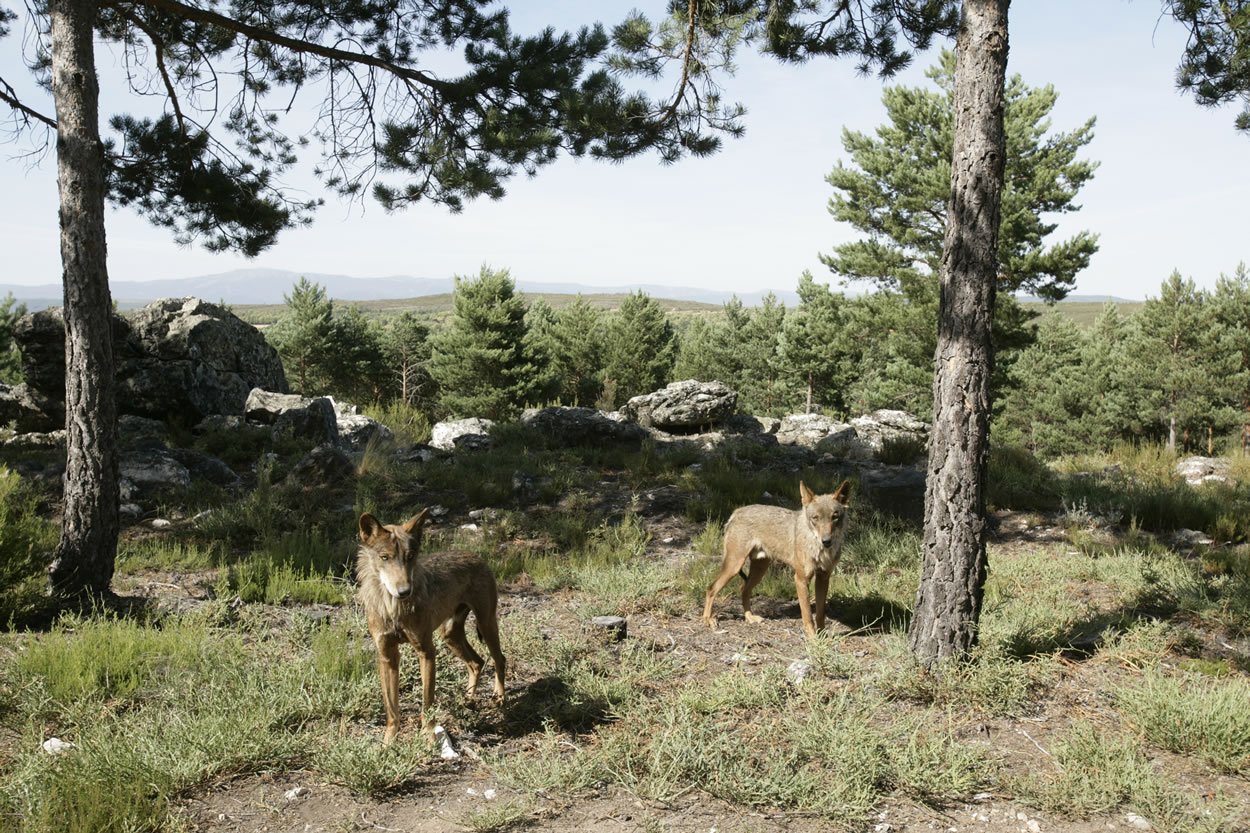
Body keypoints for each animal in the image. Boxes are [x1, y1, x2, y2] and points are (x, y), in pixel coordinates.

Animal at [357, 510, 502, 740]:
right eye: (385, 557)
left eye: (410, 557)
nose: (405, 591)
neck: (393, 609)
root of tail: (476, 556)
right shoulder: (387, 656)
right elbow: (392, 709)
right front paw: (388, 742)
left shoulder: (426, 651)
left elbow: (427, 702)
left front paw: (428, 735)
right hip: (450, 636)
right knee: (477, 662)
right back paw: (468, 700)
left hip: (486, 624)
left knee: (499, 660)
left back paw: (499, 698)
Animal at [705, 480, 850, 635]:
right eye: (815, 518)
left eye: (834, 517)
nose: (826, 541)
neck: (820, 550)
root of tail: (736, 512)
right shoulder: (801, 579)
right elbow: (808, 617)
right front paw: (813, 638)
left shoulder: (823, 578)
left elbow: (820, 614)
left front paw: (822, 636)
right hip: (734, 566)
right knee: (711, 589)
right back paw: (708, 620)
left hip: (759, 572)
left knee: (743, 589)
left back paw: (749, 617)